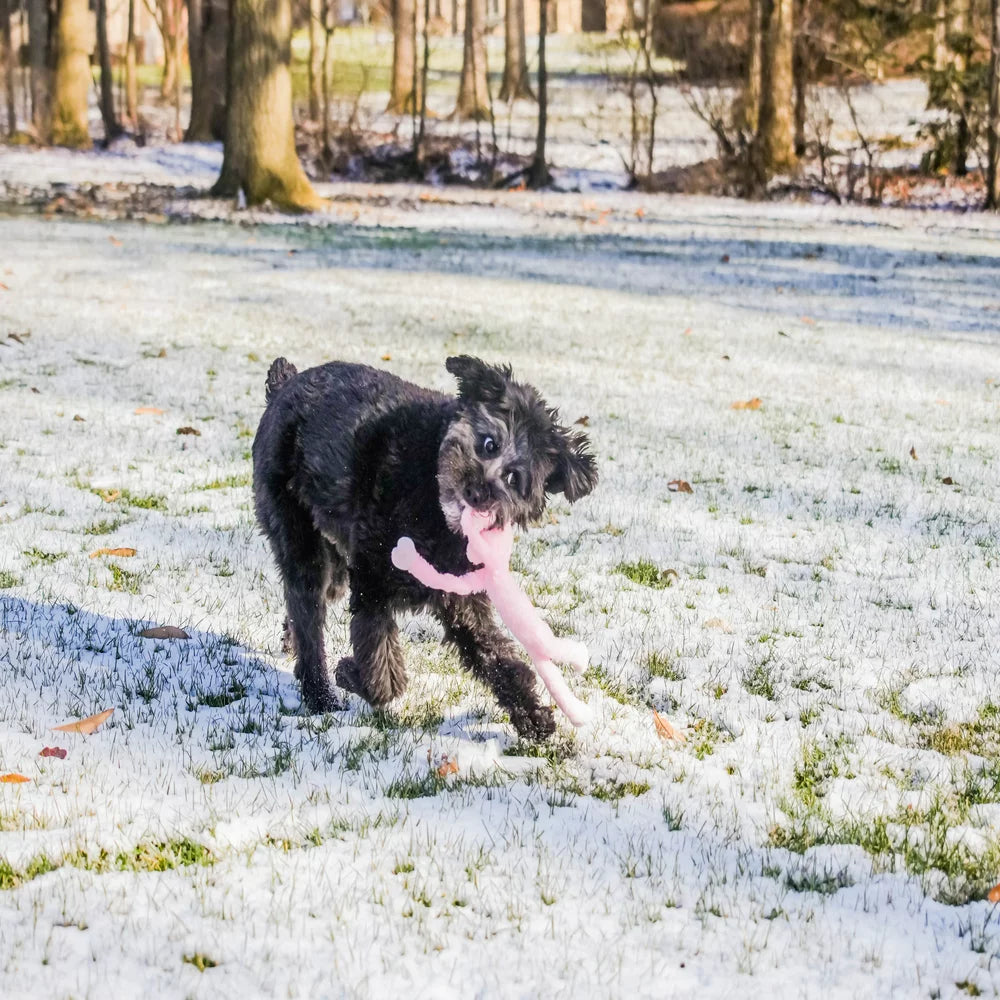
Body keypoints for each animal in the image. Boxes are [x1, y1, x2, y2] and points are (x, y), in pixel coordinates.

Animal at [254, 356, 596, 740]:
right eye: (489, 443)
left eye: (514, 478)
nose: (477, 493)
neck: (433, 512)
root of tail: (284, 385)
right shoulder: (373, 581)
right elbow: (382, 675)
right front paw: (348, 673)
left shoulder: (462, 601)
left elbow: (496, 658)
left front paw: (534, 717)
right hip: (299, 540)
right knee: (308, 614)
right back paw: (321, 695)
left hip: (335, 560)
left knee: (309, 606)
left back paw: (292, 644)